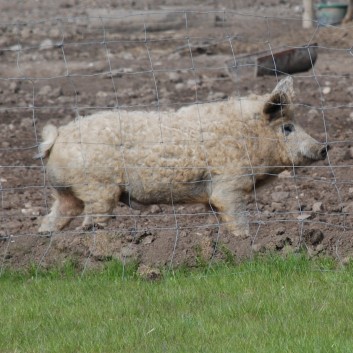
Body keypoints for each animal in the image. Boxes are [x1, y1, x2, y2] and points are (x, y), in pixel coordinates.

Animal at [35, 77, 328, 236]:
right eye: (287, 127)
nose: (324, 147)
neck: (249, 138)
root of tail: (57, 136)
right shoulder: (229, 184)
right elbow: (236, 214)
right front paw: (245, 239)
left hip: (67, 192)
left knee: (55, 216)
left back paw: (44, 237)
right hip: (99, 188)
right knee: (93, 220)